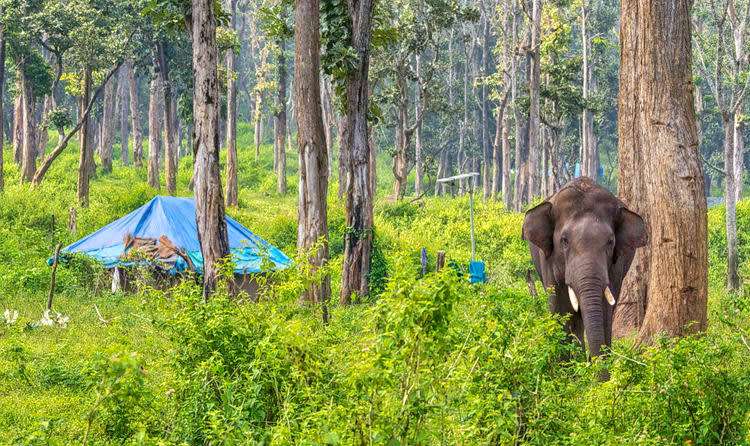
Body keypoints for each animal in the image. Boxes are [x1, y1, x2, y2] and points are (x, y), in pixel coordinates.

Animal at [522, 177, 647, 358]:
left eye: (610, 242)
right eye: (564, 241)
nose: (593, 360)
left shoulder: (616, 266)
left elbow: (605, 309)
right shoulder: (547, 260)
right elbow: (558, 306)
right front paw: (564, 363)